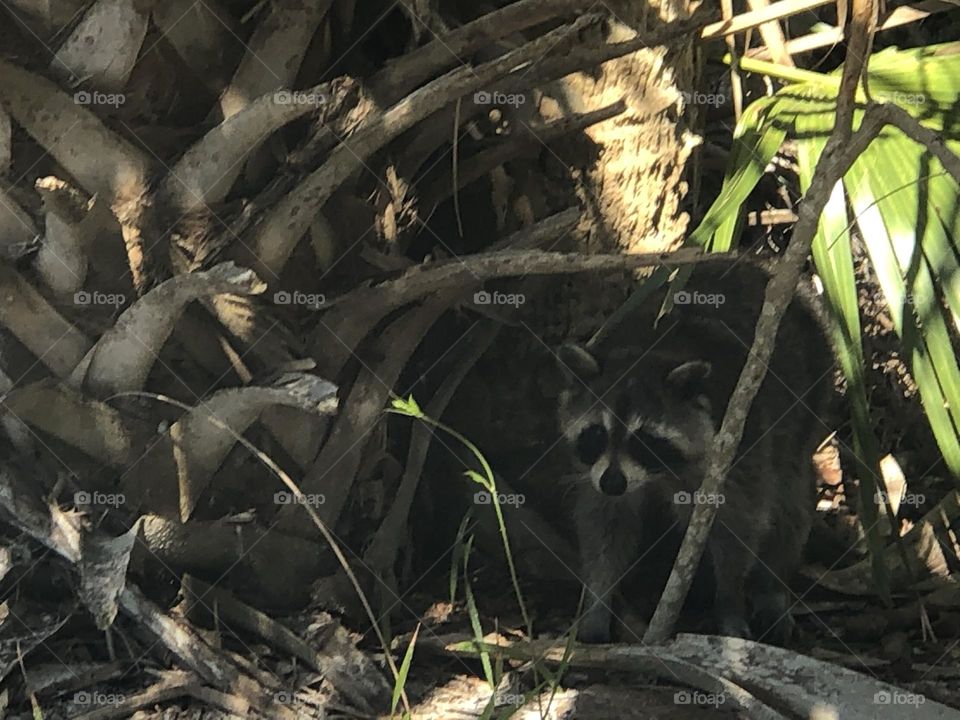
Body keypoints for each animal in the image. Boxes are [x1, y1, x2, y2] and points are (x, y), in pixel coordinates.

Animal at [557, 262, 834, 644]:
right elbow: (604, 526)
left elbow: (738, 525)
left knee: (790, 501)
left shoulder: (741, 449)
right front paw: (598, 603)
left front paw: (729, 601)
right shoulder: (596, 473)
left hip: (811, 388)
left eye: (645, 439)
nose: (614, 482)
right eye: (596, 434)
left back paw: (772, 587)